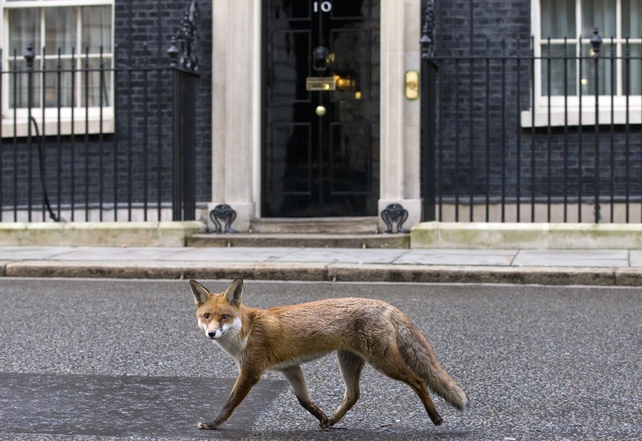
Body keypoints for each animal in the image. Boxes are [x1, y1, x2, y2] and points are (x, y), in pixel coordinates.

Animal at [189, 278, 468, 430]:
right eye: (207, 316)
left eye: (224, 317)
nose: (211, 333)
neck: (246, 330)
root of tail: (384, 304)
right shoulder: (290, 368)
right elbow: (304, 400)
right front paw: (321, 416)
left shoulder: (251, 371)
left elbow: (229, 403)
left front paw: (213, 424)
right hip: (348, 361)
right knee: (353, 395)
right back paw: (332, 420)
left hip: (383, 361)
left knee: (419, 381)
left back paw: (435, 416)